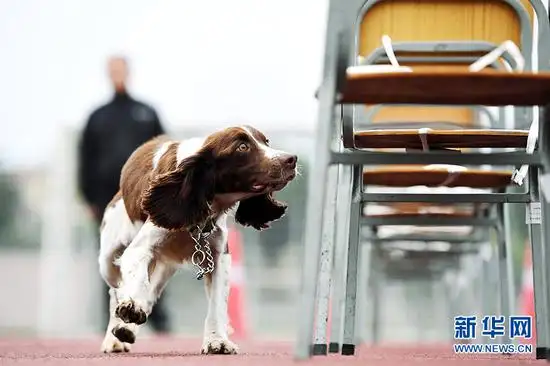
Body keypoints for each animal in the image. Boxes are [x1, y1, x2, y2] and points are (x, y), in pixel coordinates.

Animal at [97, 124, 300, 354]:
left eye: (266, 142)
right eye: (242, 147)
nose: (291, 159)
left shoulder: (219, 255)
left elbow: (217, 303)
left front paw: (217, 340)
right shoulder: (140, 247)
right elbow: (136, 279)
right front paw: (132, 307)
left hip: (164, 266)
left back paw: (126, 329)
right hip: (108, 259)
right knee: (116, 289)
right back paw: (115, 337)